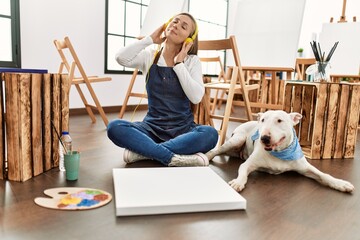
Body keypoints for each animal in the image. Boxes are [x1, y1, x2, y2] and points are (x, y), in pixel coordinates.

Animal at [205, 110, 354, 193]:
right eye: (263, 120)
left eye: (279, 120)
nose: (264, 138)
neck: (279, 152)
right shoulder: (248, 164)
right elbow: (242, 172)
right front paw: (238, 182)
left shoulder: (305, 168)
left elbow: (324, 175)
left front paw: (341, 184)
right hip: (237, 140)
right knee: (218, 150)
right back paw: (206, 156)